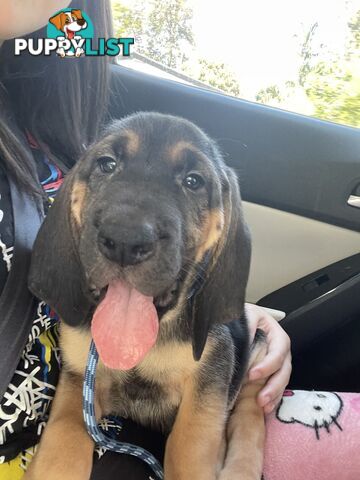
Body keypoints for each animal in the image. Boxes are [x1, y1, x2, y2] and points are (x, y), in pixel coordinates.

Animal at [26, 113, 268, 480]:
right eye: (107, 164)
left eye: (194, 181)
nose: (125, 241)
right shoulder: (80, 375)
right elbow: (64, 438)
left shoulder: (207, 383)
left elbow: (190, 448)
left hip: (257, 346)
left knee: (252, 404)